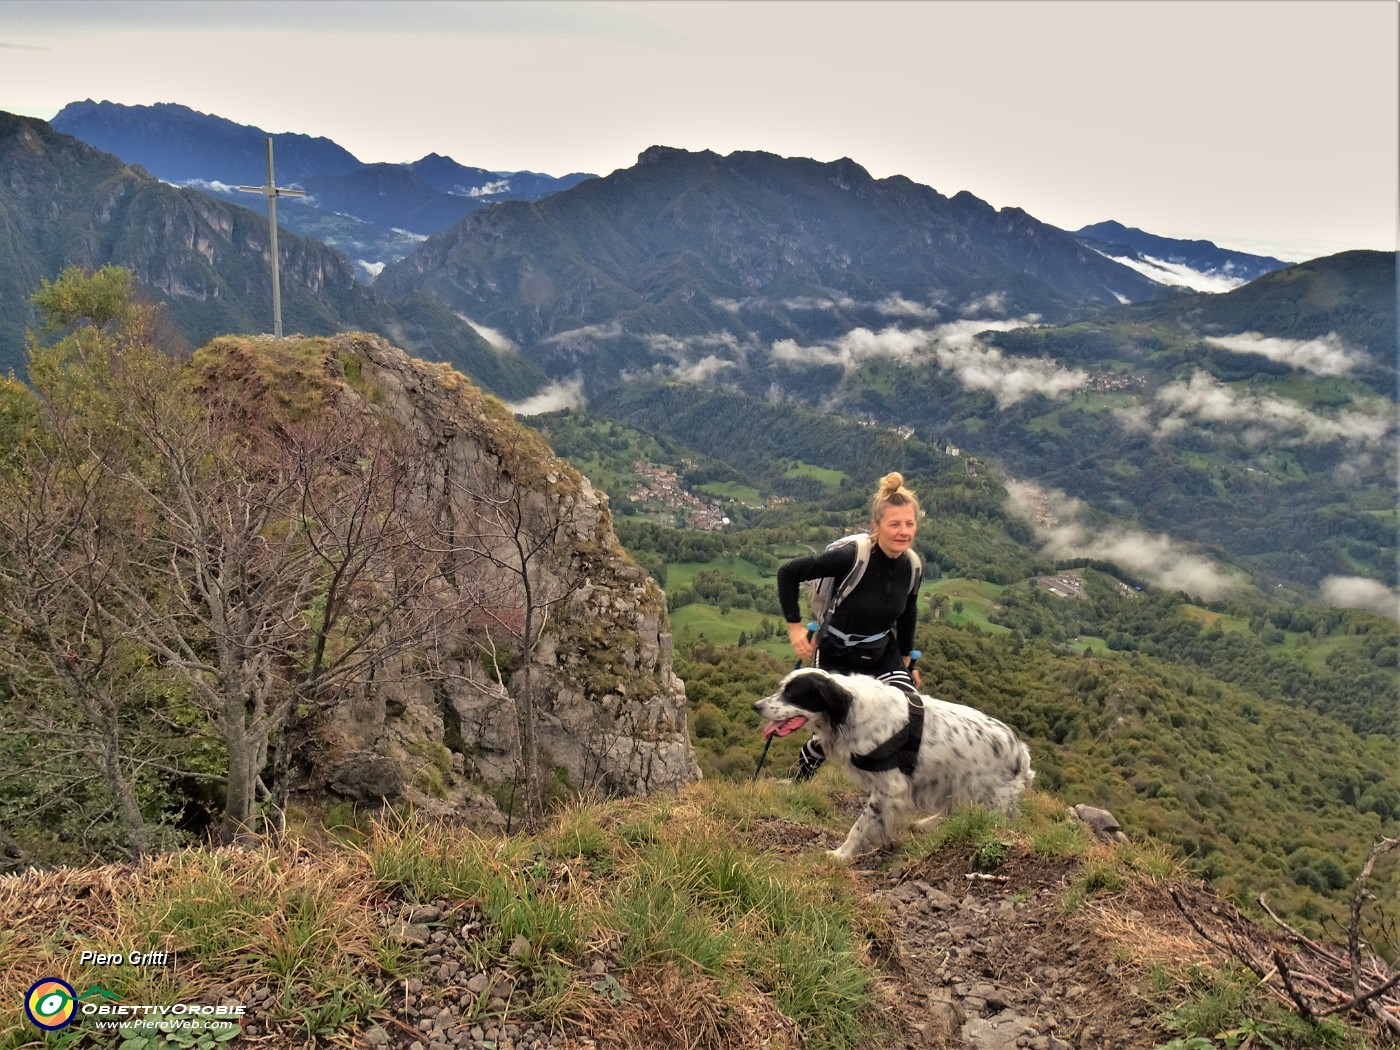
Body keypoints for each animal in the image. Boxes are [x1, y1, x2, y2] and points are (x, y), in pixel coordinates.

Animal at [756, 669, 1030, 856]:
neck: (853, 712)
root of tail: (1021, 751)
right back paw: (925, 823)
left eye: (792, 693)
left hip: (989, 799)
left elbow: (860, 826)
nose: (755, 706)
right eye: (781, 688)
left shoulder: (890, 787)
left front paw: (841, 855)